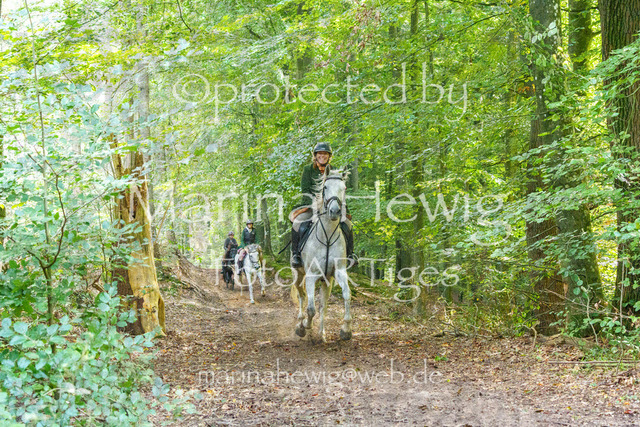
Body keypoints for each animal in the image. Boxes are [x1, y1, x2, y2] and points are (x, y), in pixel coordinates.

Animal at [291, 169, 352, 342]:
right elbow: (310, 308)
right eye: (325, 187)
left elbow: (347, 296)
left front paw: (346, 330)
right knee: (302, 296)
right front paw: (306, 325)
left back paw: (322, 334)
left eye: (344, 188)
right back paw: (300, 325)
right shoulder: (311, 275)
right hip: (298, 274)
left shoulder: (339, 272)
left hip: (327, 281)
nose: (335, 211)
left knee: (323, 306)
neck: (328, 237)